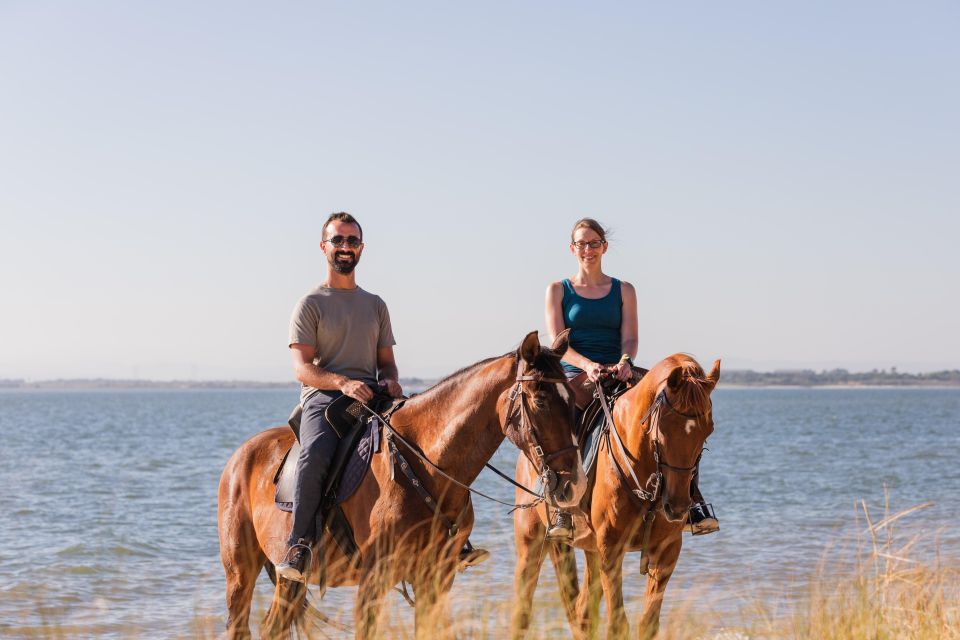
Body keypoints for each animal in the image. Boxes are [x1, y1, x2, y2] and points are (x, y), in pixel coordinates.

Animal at [218, 330, 588, 640]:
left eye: (573, 400)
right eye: (540, 400)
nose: (575, 484)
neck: (425, 466)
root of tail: (240, 455)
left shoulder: (435, 579)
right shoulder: (374, 579)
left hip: (289, 581)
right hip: (241, 573)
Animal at [510, 352, 720, 636]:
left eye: (708, 430)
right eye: (664, 428)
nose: (676, 507)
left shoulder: (667, 550)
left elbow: (648, 623)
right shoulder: (611, 549)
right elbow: (618, 624)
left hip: (590, 549)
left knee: (582, 611)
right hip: (531, 540)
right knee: (523, 607)